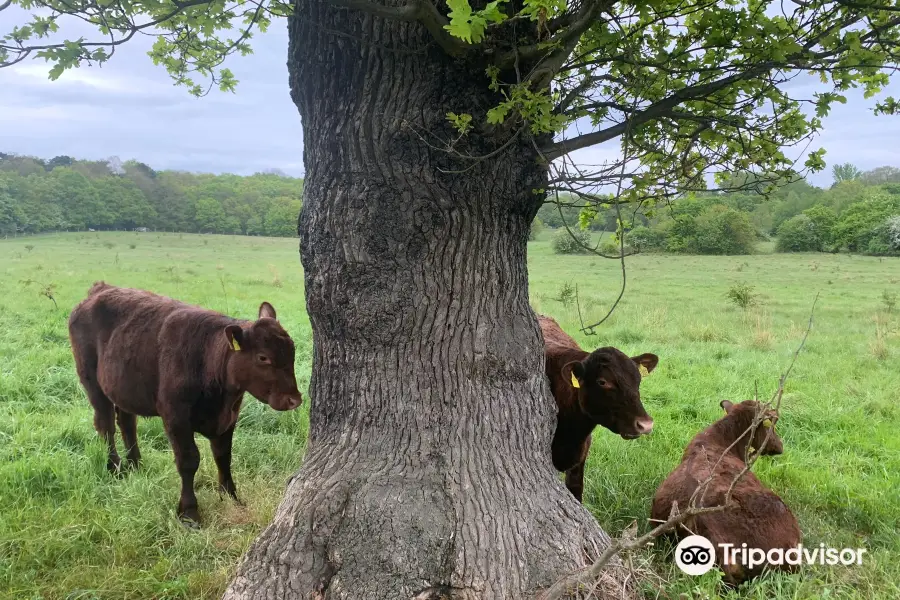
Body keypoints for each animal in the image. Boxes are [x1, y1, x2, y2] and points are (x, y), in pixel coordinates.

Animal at [67, 282, 304, 524]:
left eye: (292, 351)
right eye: (263, 357)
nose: (294, 399)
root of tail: (100, 288)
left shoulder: (229, 417)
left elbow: (223, 456)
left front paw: (231, 497)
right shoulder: (175, 417)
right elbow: (189, 460)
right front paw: (189, 512)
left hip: (124, 387)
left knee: (126, 422)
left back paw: (136, 464)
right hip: (91, 381)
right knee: (105, 424)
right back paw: (115, 467)